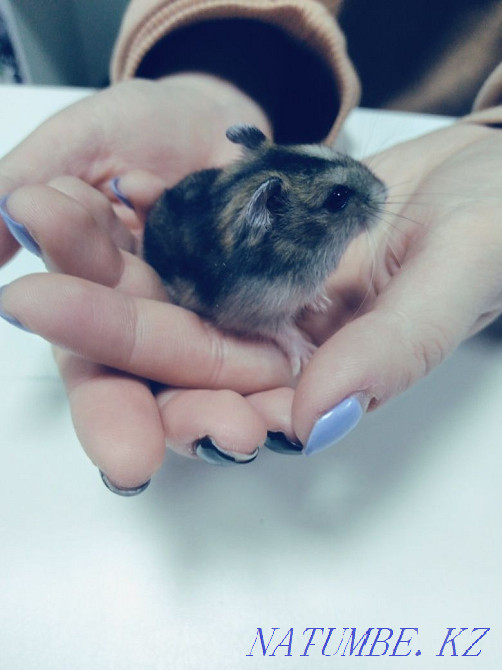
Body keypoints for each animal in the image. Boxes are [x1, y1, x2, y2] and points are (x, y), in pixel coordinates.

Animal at [143, 125, 387, 373]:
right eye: (338, 197)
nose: (384, 191)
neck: (301, 245)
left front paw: (322, 302)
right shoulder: (254, 314)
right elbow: (283, 331)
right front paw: (307, 355)